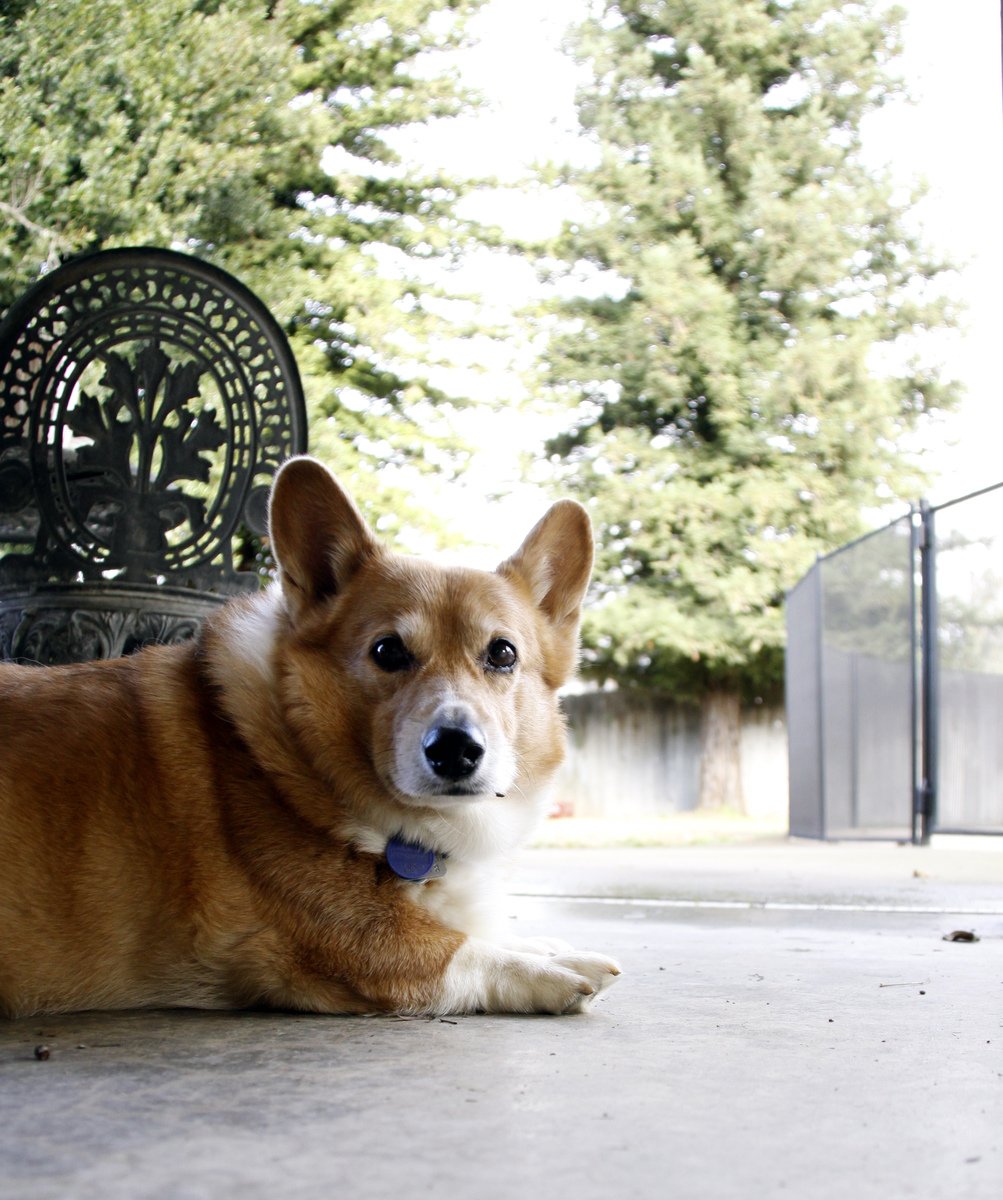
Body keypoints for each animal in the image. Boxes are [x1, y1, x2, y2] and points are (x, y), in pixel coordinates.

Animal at [0, 456, 619, 1012]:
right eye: (387, 651)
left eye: (503, 653)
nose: (455, 750)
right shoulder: (356, 944)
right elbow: (463, 952)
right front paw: (555, 970)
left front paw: (544, 945)